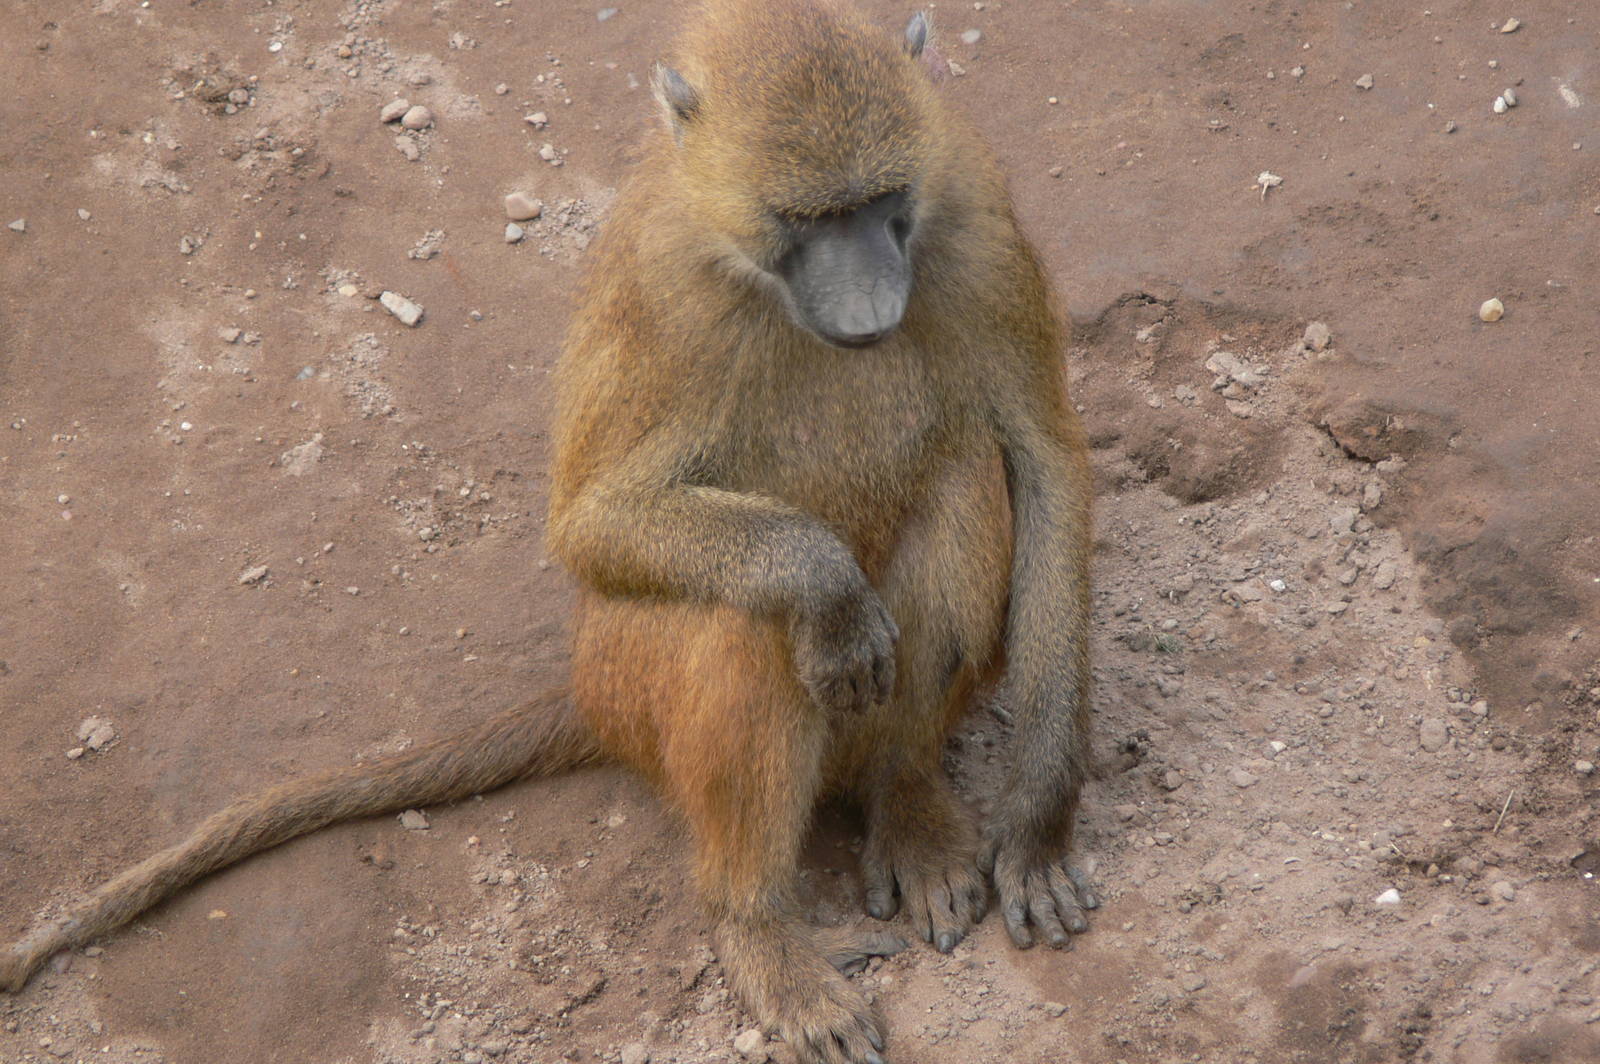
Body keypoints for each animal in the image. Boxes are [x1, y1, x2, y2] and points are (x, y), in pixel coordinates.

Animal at [1, 4, 1096, 1063]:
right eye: (802, 220)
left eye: (882, 203)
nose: (871, 309)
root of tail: (585, 691)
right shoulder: (662, 286)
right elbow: (591, 525)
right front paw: (822, 583)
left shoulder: (973, 209)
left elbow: (1045, 462)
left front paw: (1036, 828)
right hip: (630, 679)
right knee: (744, 623)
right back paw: (759, 929)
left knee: (964, 468)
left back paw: (904, 801)